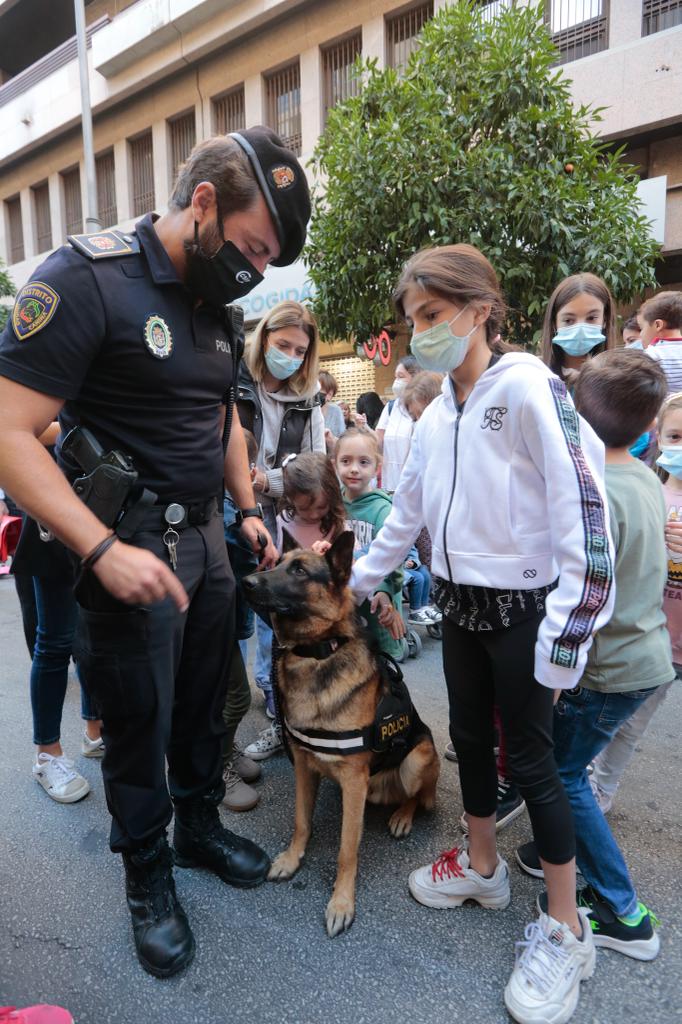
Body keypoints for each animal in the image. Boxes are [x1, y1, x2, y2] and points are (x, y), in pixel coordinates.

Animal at [241, 532, 438, 937]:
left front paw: (342, 902)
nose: (246, 581)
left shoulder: (352, 780)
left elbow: (348, 848)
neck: (317, 654)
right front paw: (291, 858)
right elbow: (302, 821)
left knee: (418, 796)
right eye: (277, 563)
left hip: (416, 760)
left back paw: (403, 817)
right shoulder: (303, 766)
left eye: (300, 571)